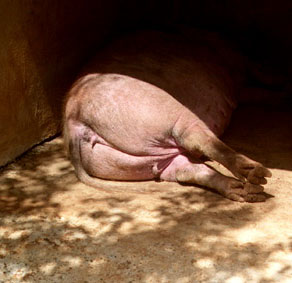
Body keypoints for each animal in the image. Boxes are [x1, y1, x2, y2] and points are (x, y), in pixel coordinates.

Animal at [63, 28, 272, 202]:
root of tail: (74, 117)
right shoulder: (239, 63)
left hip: (120, 162)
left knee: (186, 170)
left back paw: (247, 192)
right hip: (163, 112)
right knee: (195, 139)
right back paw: (259, 174)